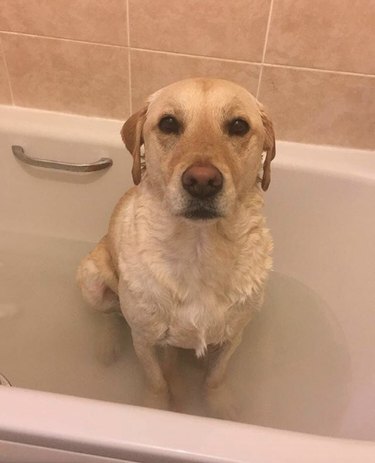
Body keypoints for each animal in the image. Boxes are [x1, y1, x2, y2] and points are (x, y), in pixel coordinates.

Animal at [76, 78, 276, 418]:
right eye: (169, 123)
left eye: (238, 126)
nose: (202, 181)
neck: (198, 249)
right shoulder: (144, 339)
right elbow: (156, 381)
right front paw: (157, 406)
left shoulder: (233, 336)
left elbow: (216, 376)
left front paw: (220, 405)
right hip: (91, 280)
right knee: (111, 314)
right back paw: (108, 345)